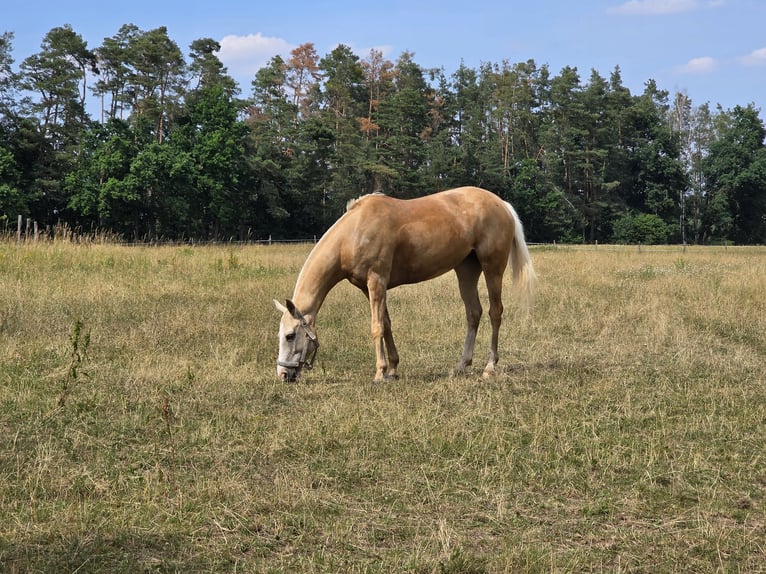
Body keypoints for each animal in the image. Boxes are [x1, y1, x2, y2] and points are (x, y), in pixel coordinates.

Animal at [273, 186, 536, 382]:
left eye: (289, 335)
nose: (283, 374)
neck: (353, 233)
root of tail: (501, 203)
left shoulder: (376, 281)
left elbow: (376, 327)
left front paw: (379, 373)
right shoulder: (370, 288)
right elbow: (387, 324)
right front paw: (392, 369)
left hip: (493, 268)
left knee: (495, 313)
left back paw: (489, 367)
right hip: (466, 270)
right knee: (473, 313)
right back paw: (461, 365)